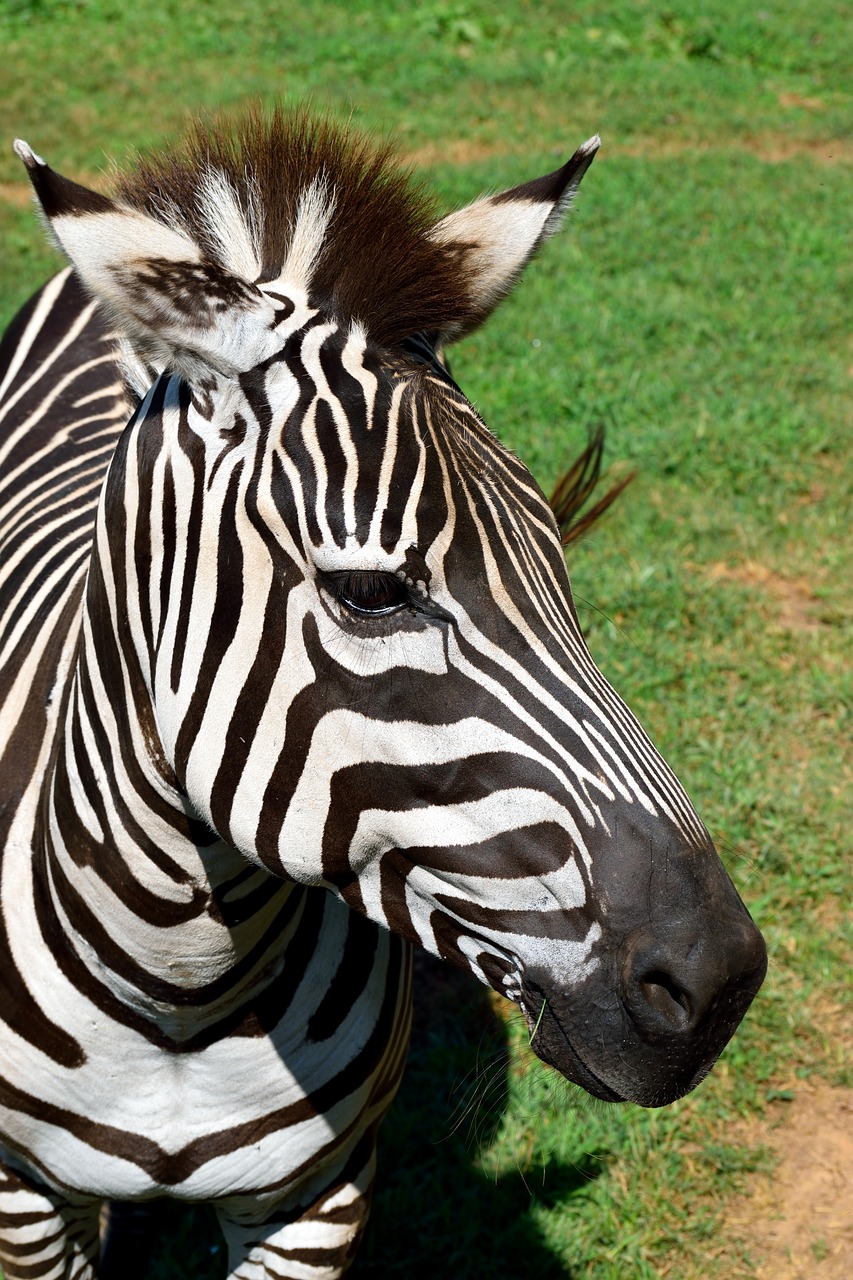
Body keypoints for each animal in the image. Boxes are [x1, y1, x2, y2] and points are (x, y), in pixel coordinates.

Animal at [0, 112, 763, 1280]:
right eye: (371, 592)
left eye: (560, 562)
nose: (717, 984)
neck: (179, 987)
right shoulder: (18, 1201)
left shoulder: (317, 1201)